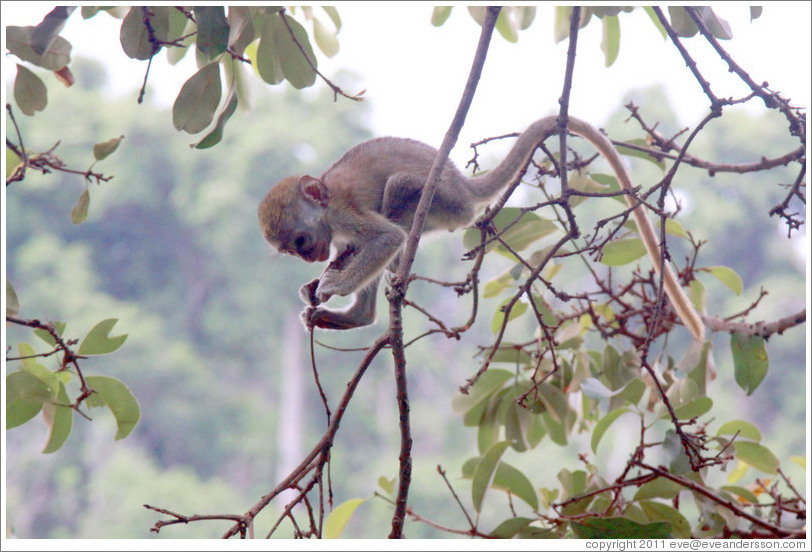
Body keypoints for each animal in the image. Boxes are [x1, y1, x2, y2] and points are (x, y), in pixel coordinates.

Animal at [258, 116, 704, 340]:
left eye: (300, 240)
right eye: (294, 250)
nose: (309, 256)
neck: (326, 196)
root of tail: (462, 182)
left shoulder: (342, 211)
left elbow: (387, 237)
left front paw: (332, 286)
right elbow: (356, 247)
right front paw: (319, 282)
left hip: (446, 202)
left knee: (399, 193)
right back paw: (358, 317)